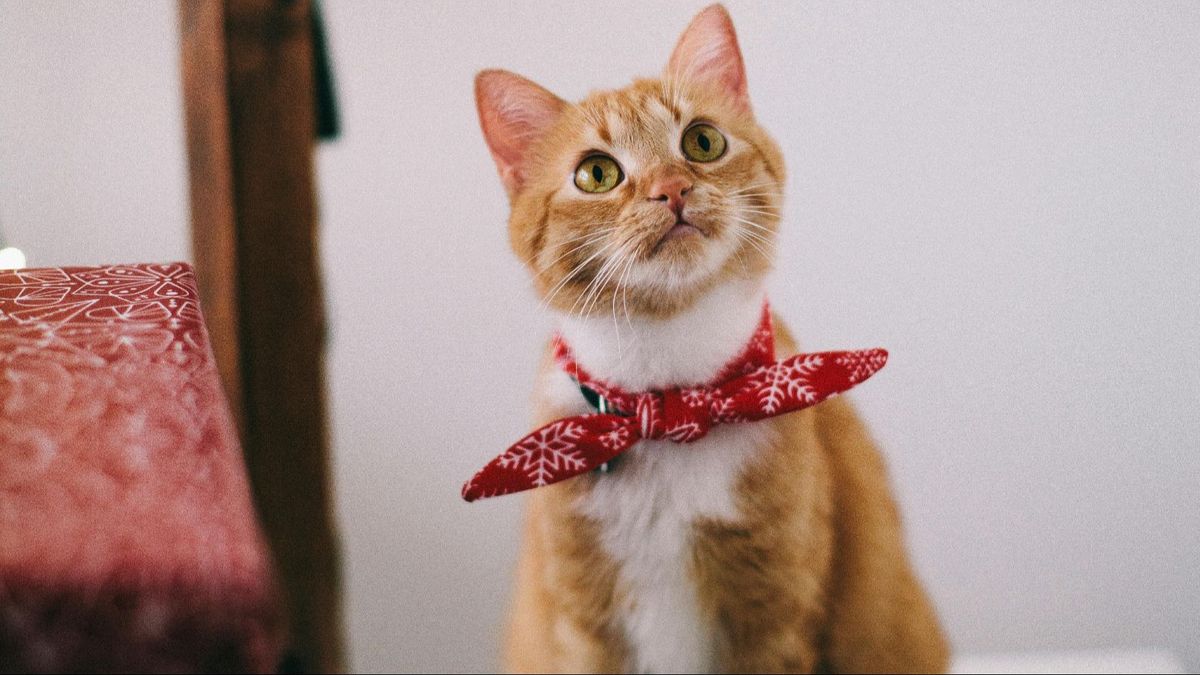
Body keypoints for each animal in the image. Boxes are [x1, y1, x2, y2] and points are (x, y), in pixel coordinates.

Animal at [472, 5, 950, 672]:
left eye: (702, 141)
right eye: (596, 173)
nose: (672, 188)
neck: (672, 404)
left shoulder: (774, 614)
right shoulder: (586, 626)